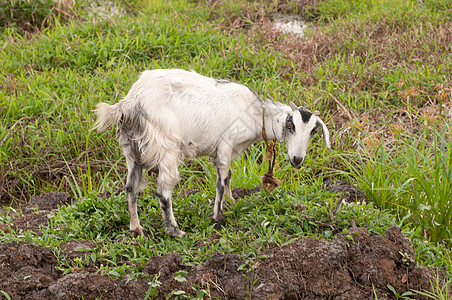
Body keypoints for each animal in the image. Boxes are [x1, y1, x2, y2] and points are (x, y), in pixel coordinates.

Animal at [93, 69, 330, 238]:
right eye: (291, 126)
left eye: (313, 131)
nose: (297, 159)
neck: (255, 113)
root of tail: (131, 102)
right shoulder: (225, 145)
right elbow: (221, 181)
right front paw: (218, 217)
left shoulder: (224, 151)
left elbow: (228, 177)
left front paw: (233, 202)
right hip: (167, 146)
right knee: (163, 192)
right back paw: (175, 231)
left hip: (132, 150)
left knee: (131, 187)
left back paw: (136, 228)